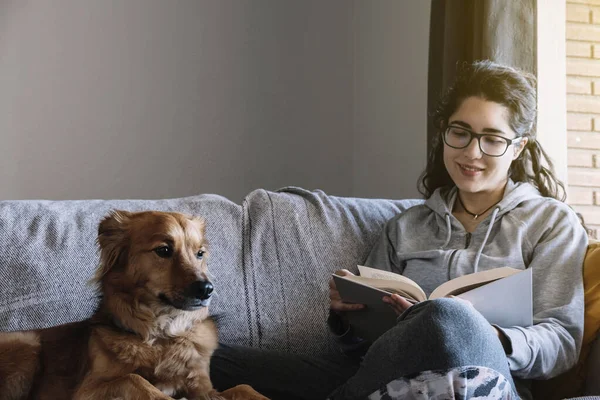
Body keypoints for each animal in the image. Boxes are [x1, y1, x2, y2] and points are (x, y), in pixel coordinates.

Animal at [0, 211, 268, 398]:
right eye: (164, 250)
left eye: (199, 254)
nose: (207, 289)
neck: (162, 336)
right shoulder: (86, 390)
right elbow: (135, 379)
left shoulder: (202, 388)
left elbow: (243, 387)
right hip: (27, 344)